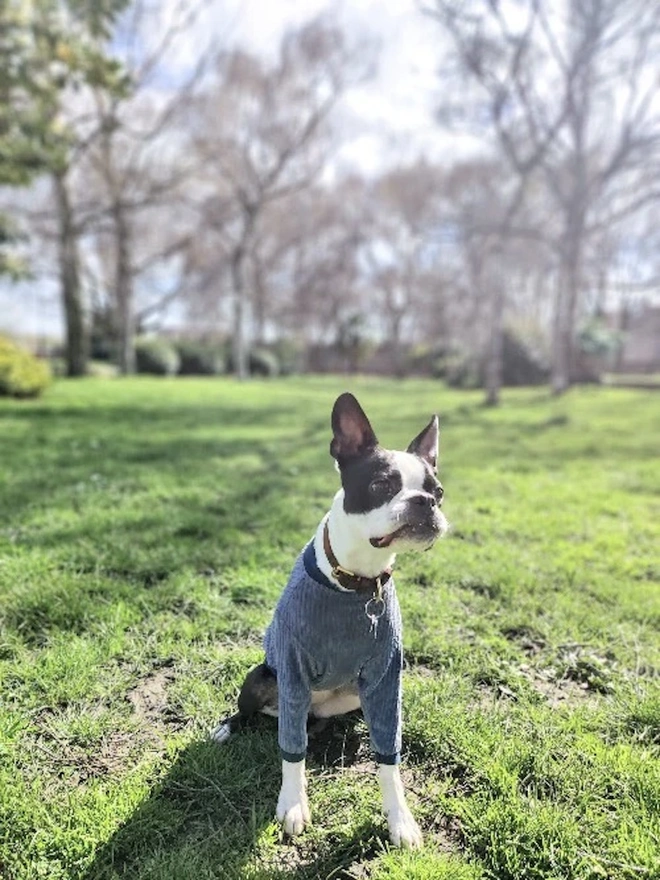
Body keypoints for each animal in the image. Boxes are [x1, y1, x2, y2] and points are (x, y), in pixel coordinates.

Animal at [213, 392, 448, 844]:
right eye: (381, 485)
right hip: (261, 677)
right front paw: (292, 804)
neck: (358, 581)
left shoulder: (385, 678)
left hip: (354, 696)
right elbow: (291, 752)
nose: (425, 503)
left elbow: (388, 759)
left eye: (439, 491)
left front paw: (400, 819)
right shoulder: (291, 670)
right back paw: (228, 728)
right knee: (260, 716)